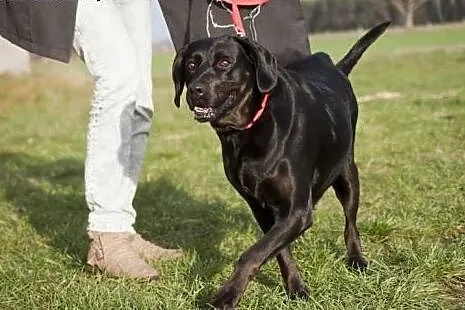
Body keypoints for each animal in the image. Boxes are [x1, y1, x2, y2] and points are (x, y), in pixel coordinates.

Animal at [170, 22, 388, 310]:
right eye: (191, 65)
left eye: (225, 62)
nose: (195, 90)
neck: (247, 132)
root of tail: (336, 68)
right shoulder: (261, 209)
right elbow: (278, 250)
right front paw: (296, 287)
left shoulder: (297, 210)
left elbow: (252, 253)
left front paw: (227, 295)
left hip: (347, 172)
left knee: (350, 222)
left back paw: (356, 259)